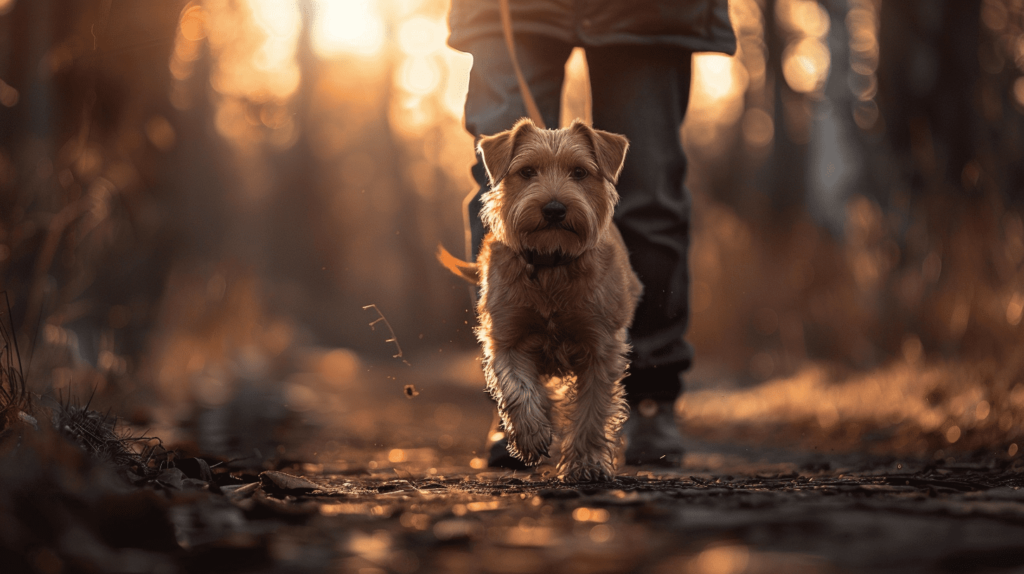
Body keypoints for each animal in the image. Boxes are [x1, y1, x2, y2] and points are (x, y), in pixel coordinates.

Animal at [438, 118, 638, 480]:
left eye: (579, 172)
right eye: (527, 171)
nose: (554, 209)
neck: (551, 263)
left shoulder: (600, 347)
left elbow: (592, 410)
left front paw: (585, 464)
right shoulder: (507, 338)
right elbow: (517, 387)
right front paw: (531, 434)